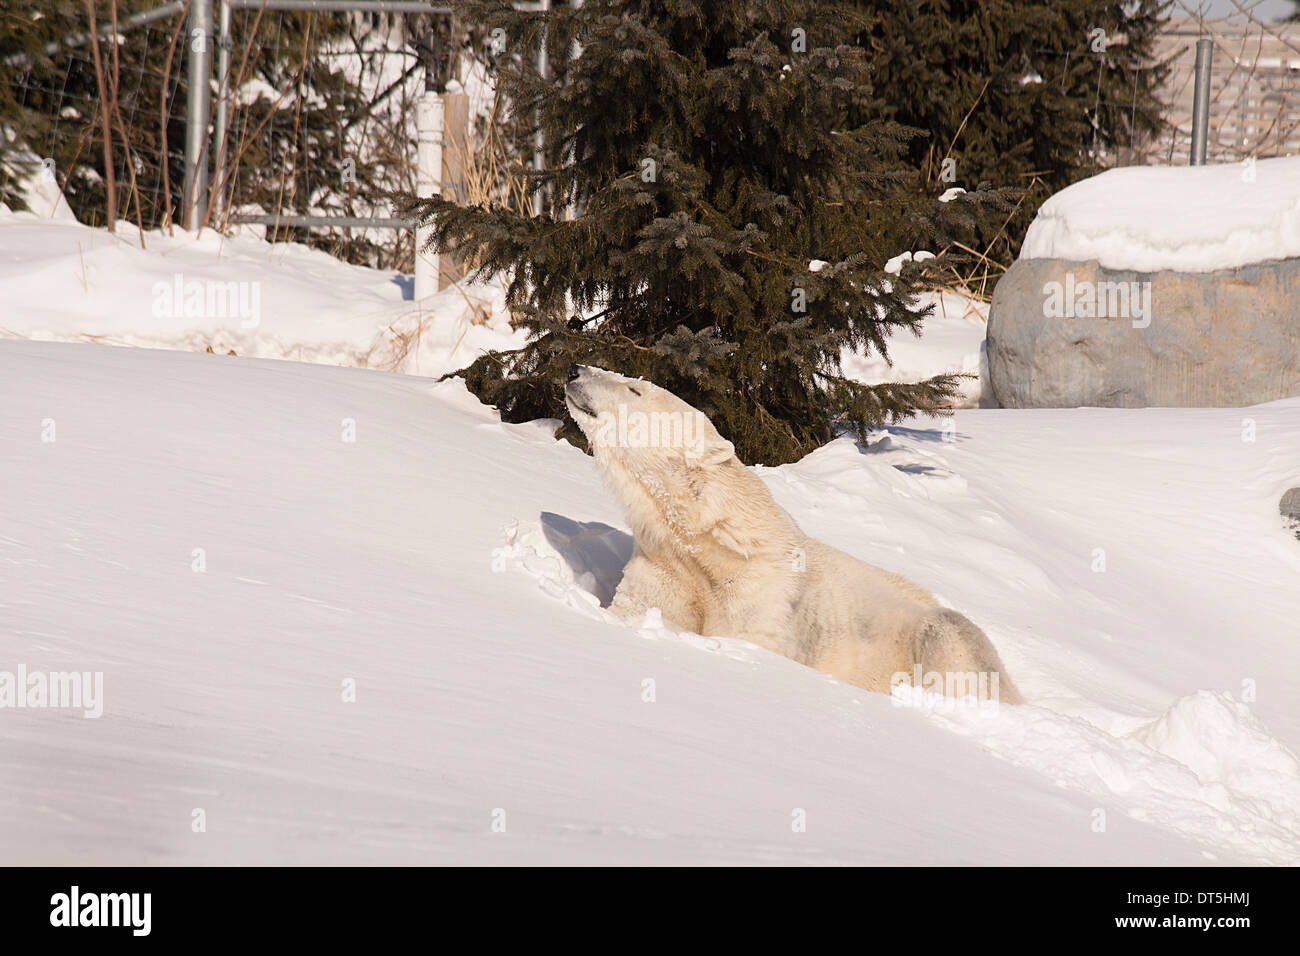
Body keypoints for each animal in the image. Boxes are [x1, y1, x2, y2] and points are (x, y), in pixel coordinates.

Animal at [564, 364, 1021, 704]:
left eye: (634, 389)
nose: (574, 369)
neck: (709, 544)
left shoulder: (760, 594)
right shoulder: (664, 564)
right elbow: (642, 609)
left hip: (937, 635)